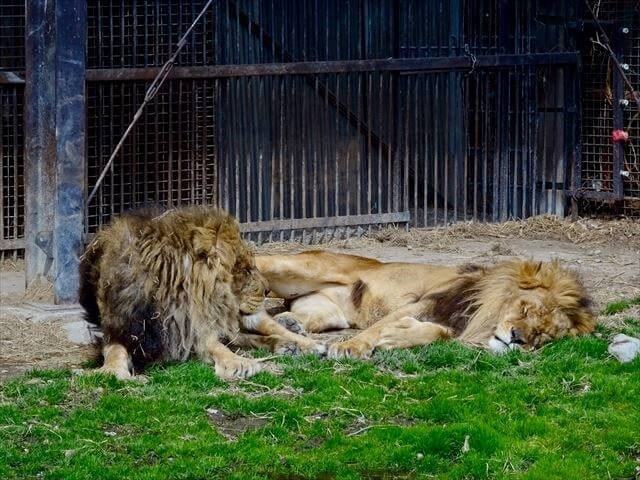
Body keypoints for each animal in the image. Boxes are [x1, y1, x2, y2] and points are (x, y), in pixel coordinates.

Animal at [79, 208, 324, 380]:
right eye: (245, 270)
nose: (265, 289)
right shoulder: (120, 329)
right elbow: (114, 351)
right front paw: (110, 371)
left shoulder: (191, 330)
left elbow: (216, 346)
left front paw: (238, 363)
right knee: (244, 337)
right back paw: (284, 346)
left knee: (269, 328)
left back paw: (306, 344)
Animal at [254, 251, 596, 356]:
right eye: (525, 308)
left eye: (542, 336)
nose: (517, 338)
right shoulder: (427, 301)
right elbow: (377, 326)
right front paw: (352, 346)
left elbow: (438, 333)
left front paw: (397, 337)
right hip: (298, 269)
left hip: (327, 312)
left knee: (294, 315)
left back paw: (289, 323)